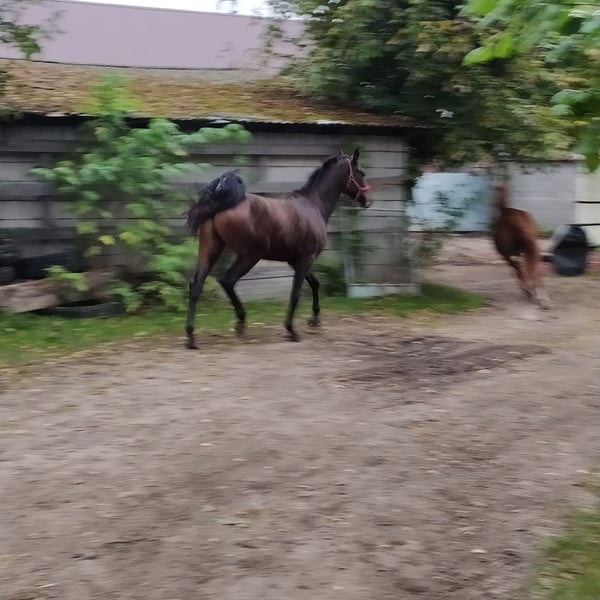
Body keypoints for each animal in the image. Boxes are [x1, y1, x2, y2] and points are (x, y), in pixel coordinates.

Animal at [184, 148, 371, 349]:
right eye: (361, 173)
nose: (368, 200)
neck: (313, 204)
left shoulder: (295, 260)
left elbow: (314, 283)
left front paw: (314, 320)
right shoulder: (306, 258)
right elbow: (295, 293)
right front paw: (291, 330)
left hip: (210, 250)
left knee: (196, 285)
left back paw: (191, 337)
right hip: (249, 256)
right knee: (227, 281)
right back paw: (240, 323)